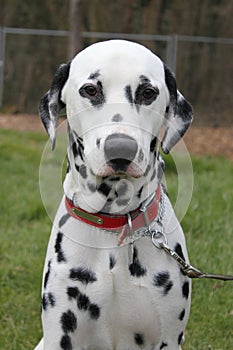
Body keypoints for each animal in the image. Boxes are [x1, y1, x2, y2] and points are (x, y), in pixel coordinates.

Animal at [35, 39, 193, 348]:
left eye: (148, 93)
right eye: (90, 90)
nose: (121, 150)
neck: (116, 220)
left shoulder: (168, 337)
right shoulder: (61, 334)